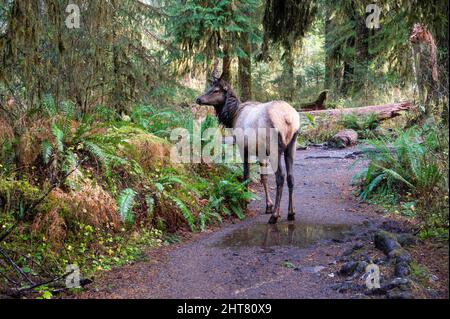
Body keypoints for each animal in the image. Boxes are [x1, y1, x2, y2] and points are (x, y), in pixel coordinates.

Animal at [196, 65, 298, 225]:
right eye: (210, 87)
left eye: (216, 90)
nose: (199, 99)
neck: (233, 116)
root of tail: (288, 118)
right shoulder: (261, 152)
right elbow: (263, 177)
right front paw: (268, 205)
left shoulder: (242, 146)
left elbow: (246, 175)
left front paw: (244, 203)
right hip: (292, 145)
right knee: (291, 177)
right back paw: (291, 213)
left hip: (275, 146)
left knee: (280, 177)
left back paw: (275, 216)